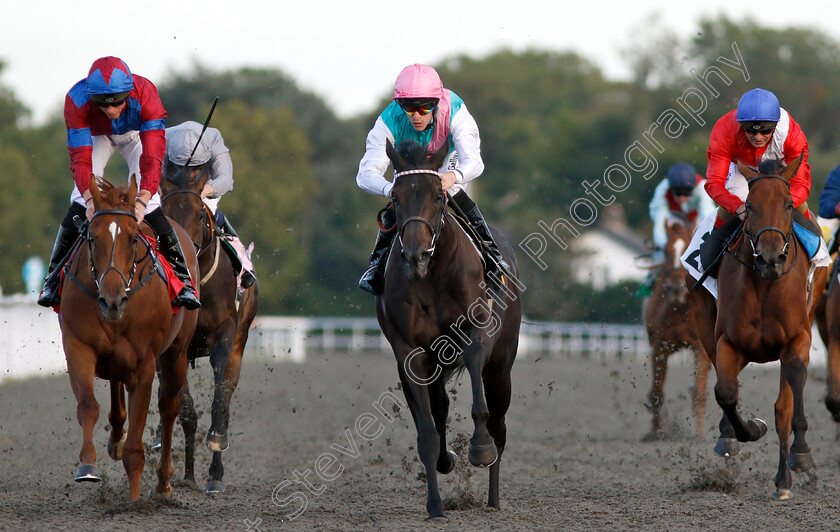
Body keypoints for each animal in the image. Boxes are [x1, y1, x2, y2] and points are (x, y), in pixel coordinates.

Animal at [59, 176, 199, 498]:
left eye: (134, 239)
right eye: (92, 238)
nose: (113, 301)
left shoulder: (145, 362)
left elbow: (137, 448)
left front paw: (134, 500)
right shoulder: (77, 346)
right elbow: (88, 405)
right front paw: (88, 466)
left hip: (176, 352)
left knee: (169, 408)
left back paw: (163, 483)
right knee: (116, 394)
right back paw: (116, 440)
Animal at [159, 163, 258, 494]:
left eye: (200, 215)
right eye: (164, 213)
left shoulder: (224, 335)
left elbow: (220, 397)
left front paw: (216, 442)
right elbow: (184, 409)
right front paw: (185, 473)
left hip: (241, 339)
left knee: (226, 394)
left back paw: (216, 473)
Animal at [378, 139, 520, 520]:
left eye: (438, 196)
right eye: (395, 197)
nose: (415, 256)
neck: (431, 276)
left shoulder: (478, 331)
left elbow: (479, 400)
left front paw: (479, 448)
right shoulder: (410, 353)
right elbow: (427, 432)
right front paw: (435, 506)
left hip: (501, 366)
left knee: (499, 424)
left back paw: (493, 499)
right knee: (439, 407)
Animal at [648, 214, 712, 438]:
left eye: (687, 248)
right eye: (666, 251)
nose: (676, 287)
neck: (680, 309)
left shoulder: (700, 349)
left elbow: (699, 394)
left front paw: (700, 435)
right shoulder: (660, 347)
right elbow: (656, 393)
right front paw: (657, 431)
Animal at [692, 156, 832, 500]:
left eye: (788, 204)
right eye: (749, 206)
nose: (771, 259)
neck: (765, 285)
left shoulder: (797, 340)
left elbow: (787, 403)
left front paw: (799, 455)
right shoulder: (728, 342)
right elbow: (725, 392)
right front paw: (748, 429)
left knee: (784, 405)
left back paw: (784, 476)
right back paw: (728, 436)